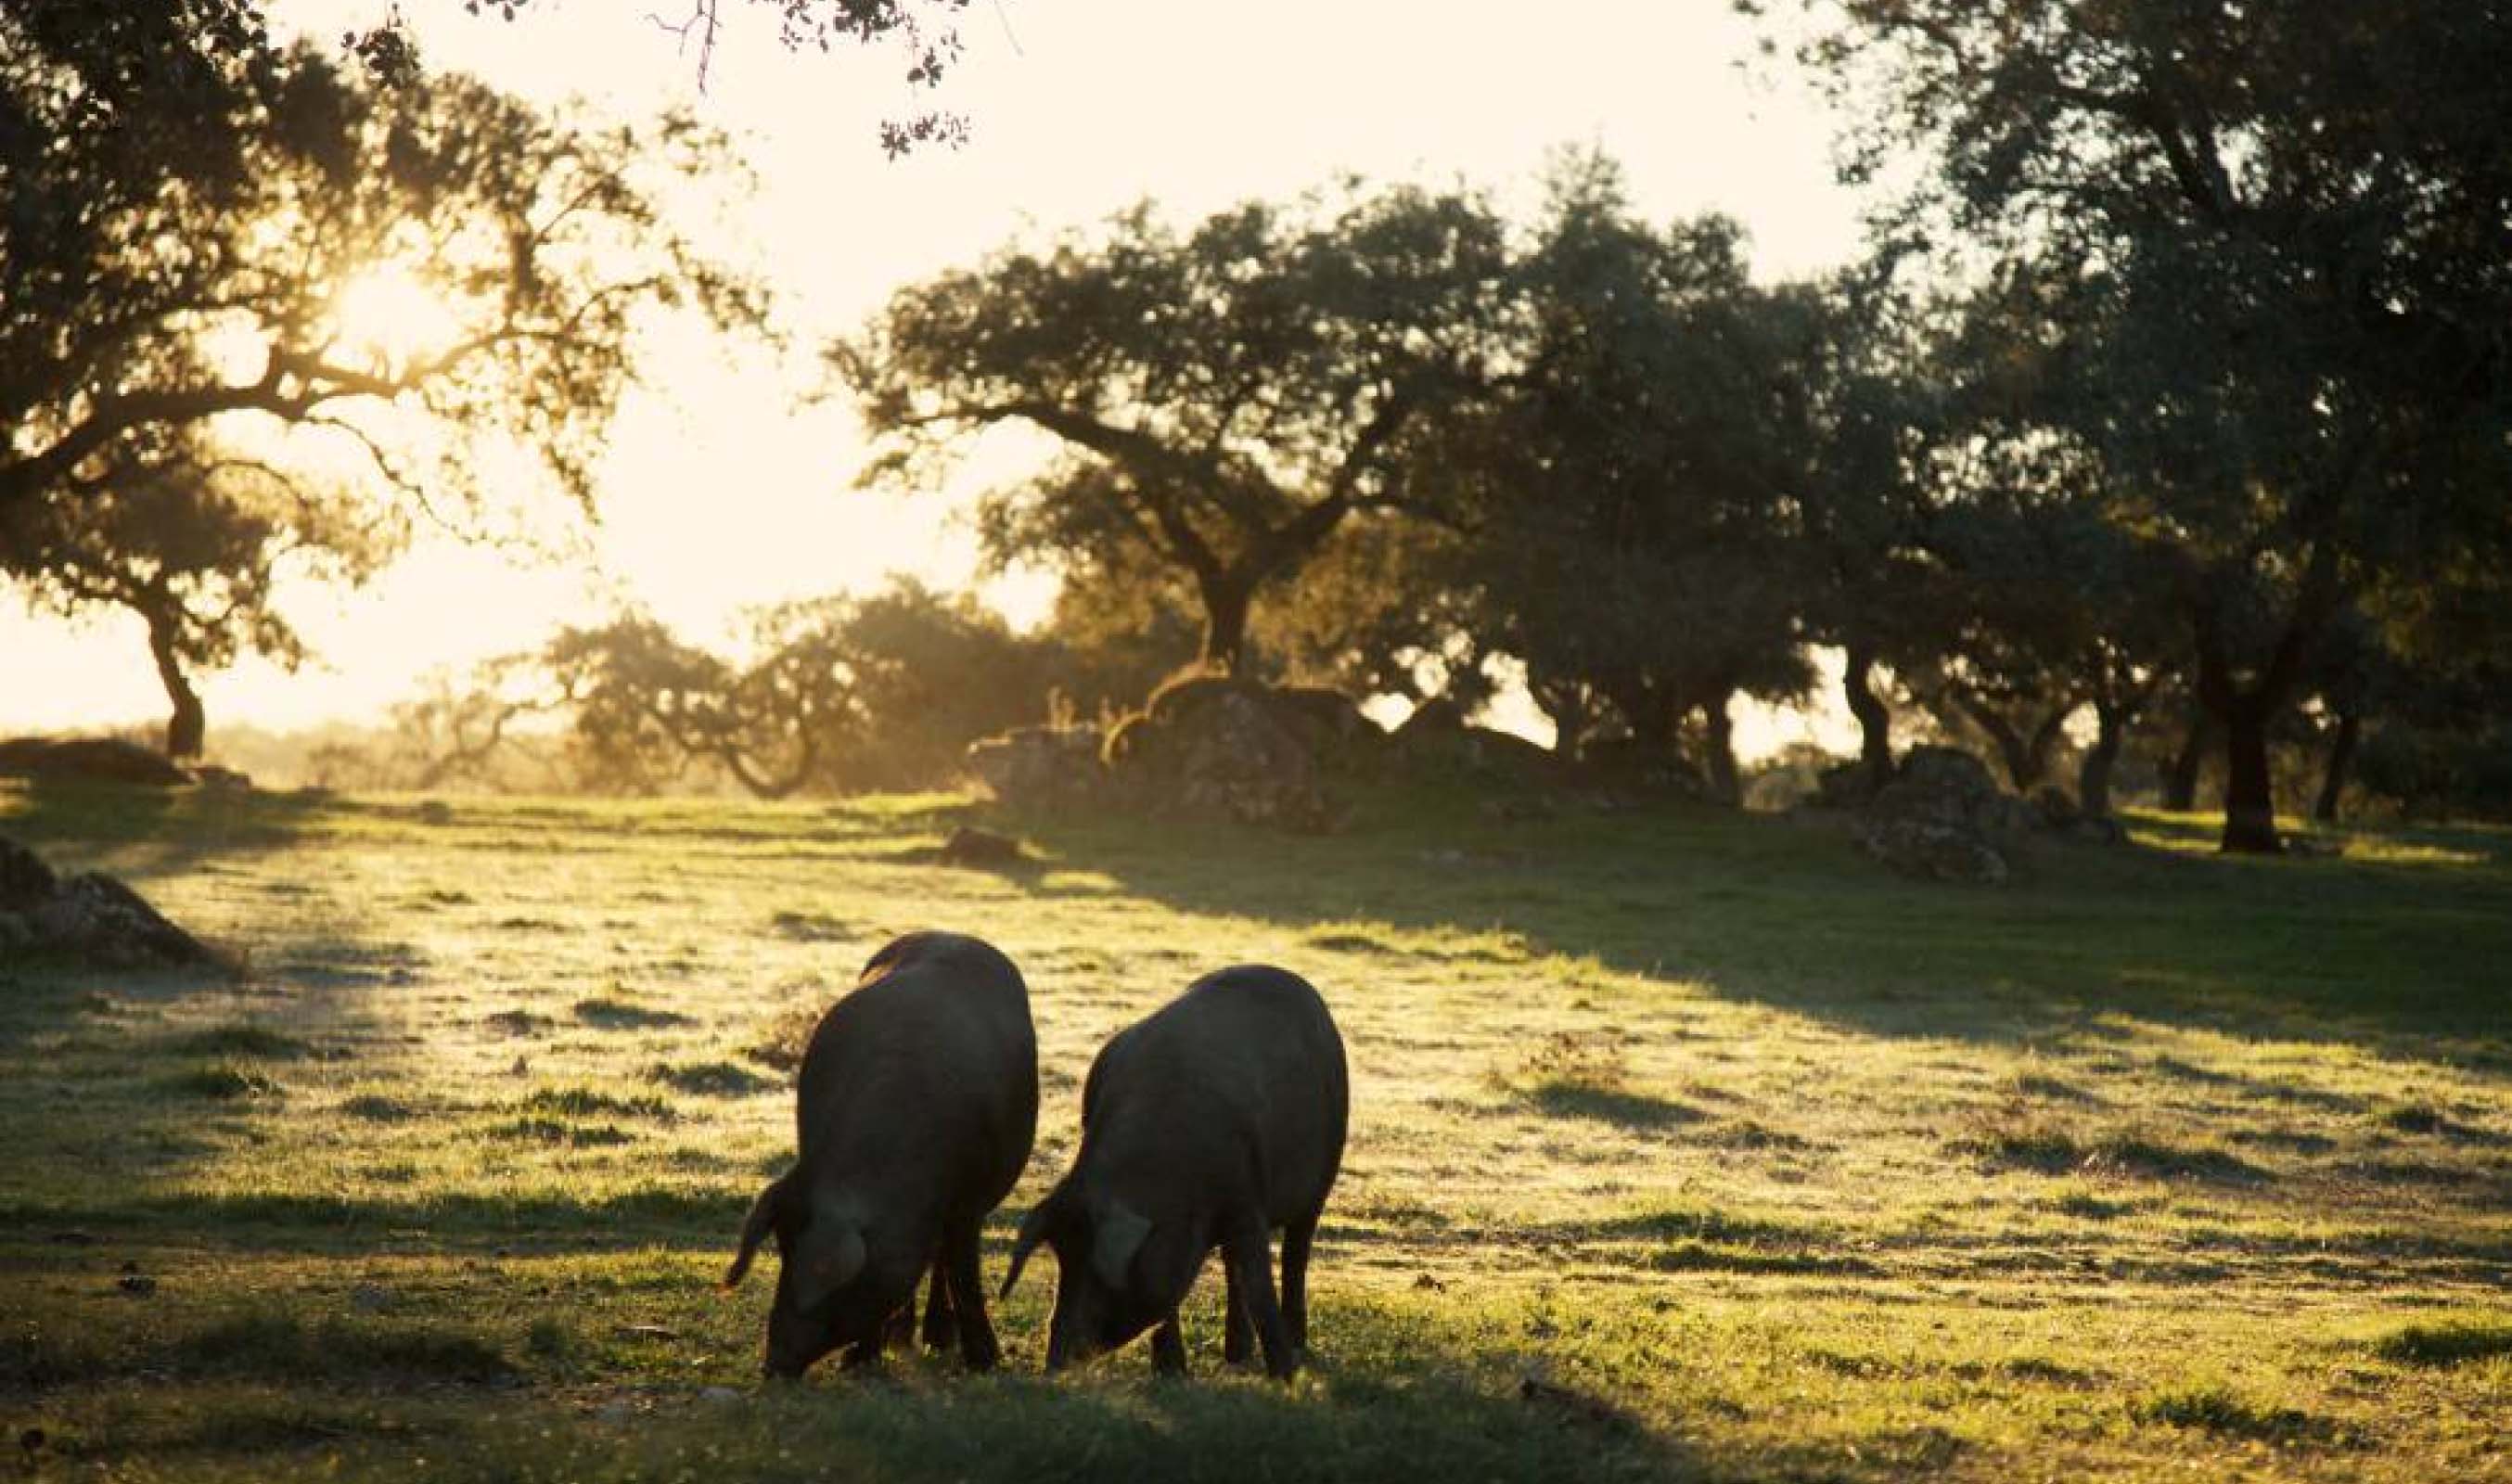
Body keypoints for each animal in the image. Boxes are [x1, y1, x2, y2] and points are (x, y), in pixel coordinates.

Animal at [728, 934, 1040, 1375]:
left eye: (825, 1278)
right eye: (782, 1253)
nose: (773, 1365)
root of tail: (951, 933)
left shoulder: (970, 1202)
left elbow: (966, 1274)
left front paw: (986, 1363)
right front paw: (858, 1361)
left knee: (943, 1259)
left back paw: (938, 1340)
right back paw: (903, 1337)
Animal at [1005, 964, 1356, 1386]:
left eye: (1097, 1272)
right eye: (1063, 1261)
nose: (1055, 1362)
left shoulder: (1245, 1197)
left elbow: (1260, 1283)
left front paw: (1284, 1378)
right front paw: (1171, 1372)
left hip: (1323, 1176)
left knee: (1294, 1256)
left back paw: (1294, 1346)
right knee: (1232, 1269)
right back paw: (1236, 1355)